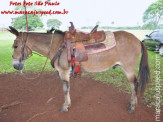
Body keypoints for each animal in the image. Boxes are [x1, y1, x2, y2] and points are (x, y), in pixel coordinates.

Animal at [7, 24, 150, 113]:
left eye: (15, 46)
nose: (15, 65)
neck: (57, 45)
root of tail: (138, 40)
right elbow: (67, 89)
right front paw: (68, 104)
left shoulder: (64, 72)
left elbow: (65, 89)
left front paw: (65, 106)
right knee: (134, 85)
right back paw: (132, 104)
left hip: (128, 69)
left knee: (135, 85)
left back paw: (132, 107)